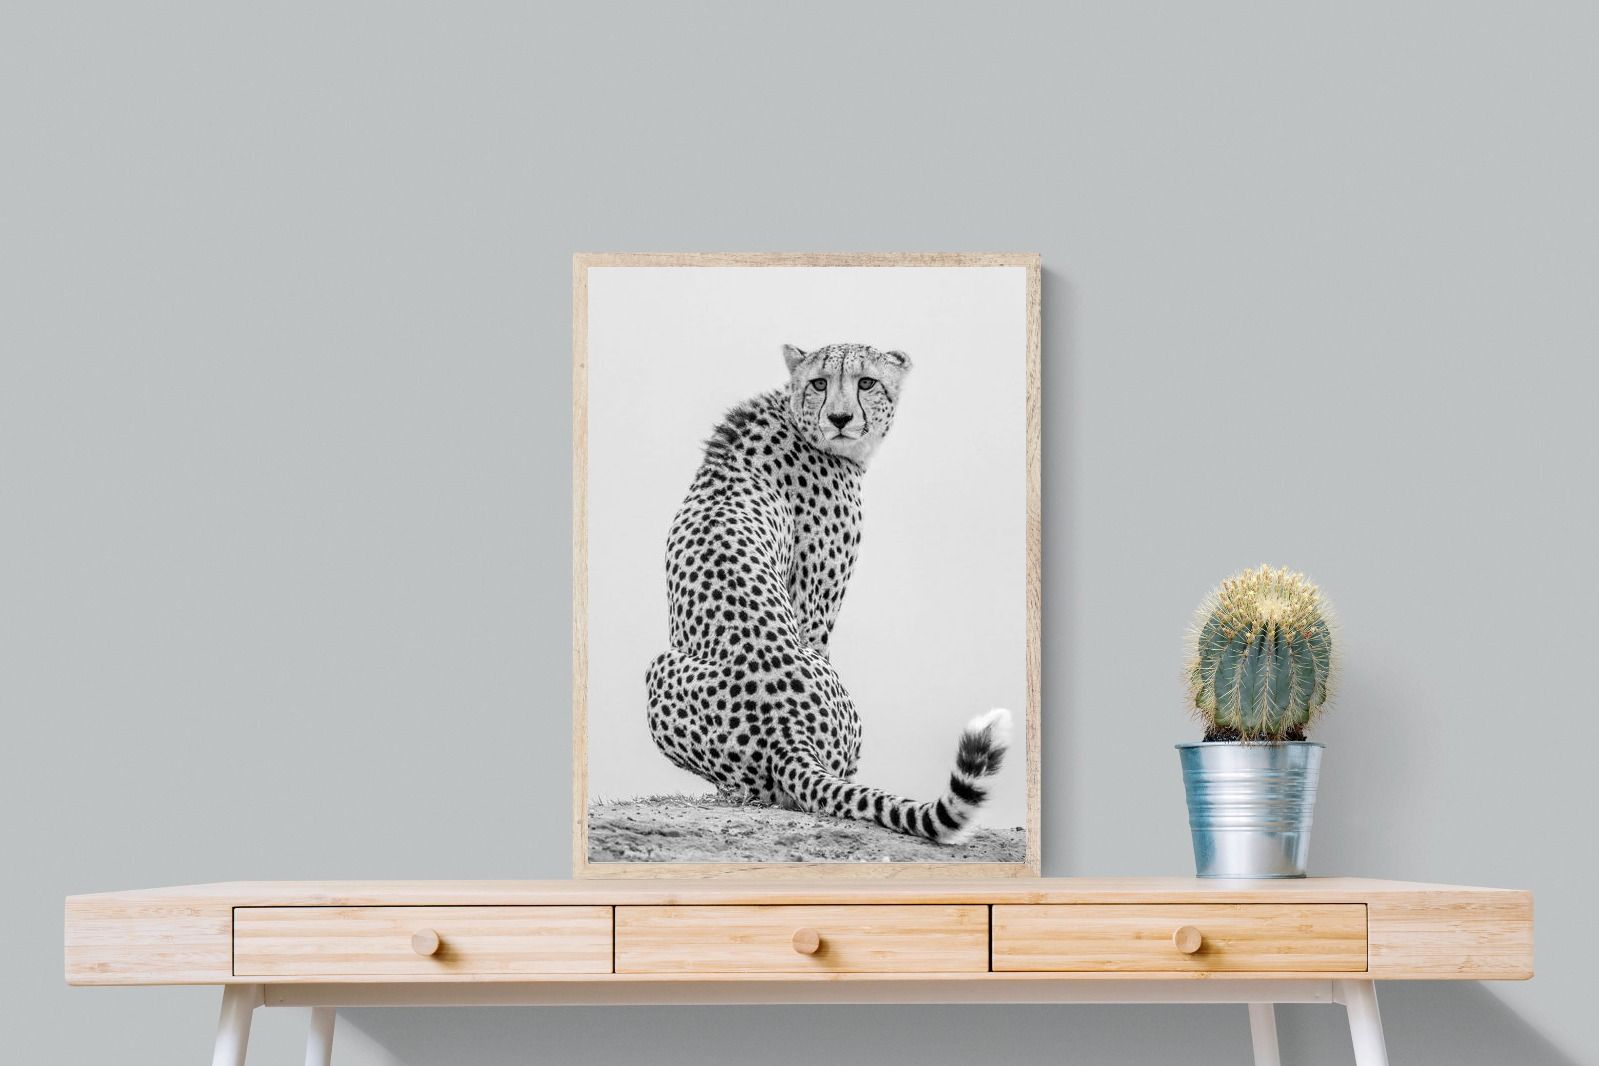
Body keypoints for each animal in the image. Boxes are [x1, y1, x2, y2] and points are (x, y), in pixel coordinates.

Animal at [644, 341, 1011, 844]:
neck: (795, 418)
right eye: (820, 382)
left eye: (866, 382)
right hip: (662, 668)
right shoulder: (814, 607)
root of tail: (786, 731)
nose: (839, 418)